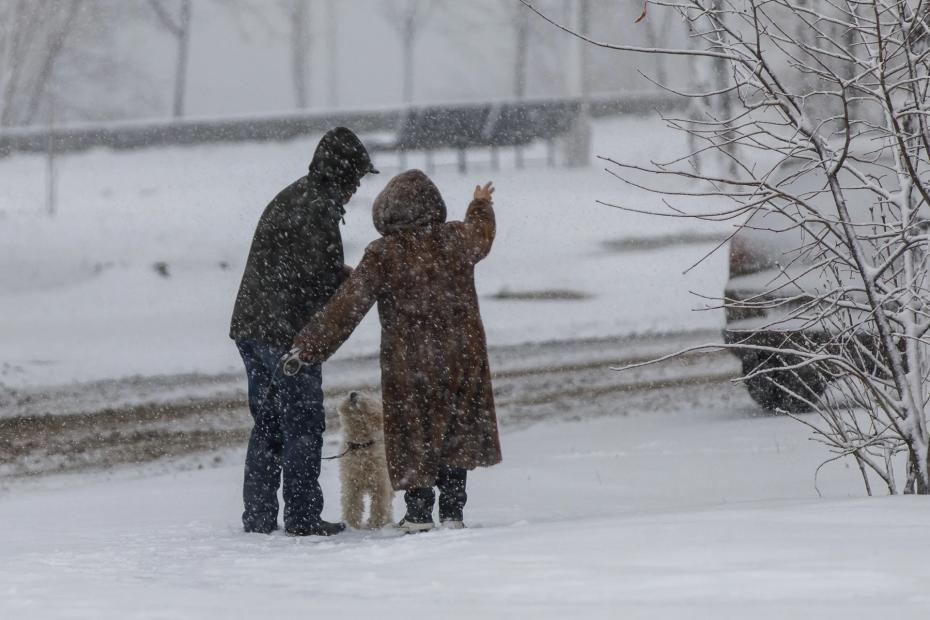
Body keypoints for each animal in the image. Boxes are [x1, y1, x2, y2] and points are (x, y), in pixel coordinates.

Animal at [338, 392, 392, 528]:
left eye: (367, 393)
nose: (353, 393)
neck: (361, 445)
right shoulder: (350, 482)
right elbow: (351, 502)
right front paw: (351, 524)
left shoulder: (380, 482)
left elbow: (379, 504)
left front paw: (376, 524)